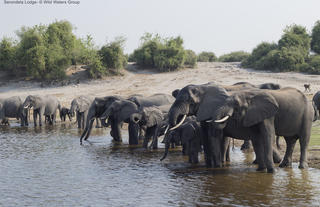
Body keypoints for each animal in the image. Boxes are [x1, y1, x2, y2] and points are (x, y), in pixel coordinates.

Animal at [169, 83, 314, 173]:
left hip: (307, 114)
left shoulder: (267, 115)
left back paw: (300, 167)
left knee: (303, 140)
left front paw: (217, 168)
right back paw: (283, 165)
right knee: (290, 141)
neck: (202, 87)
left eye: (189, 102)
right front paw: (213, 167)